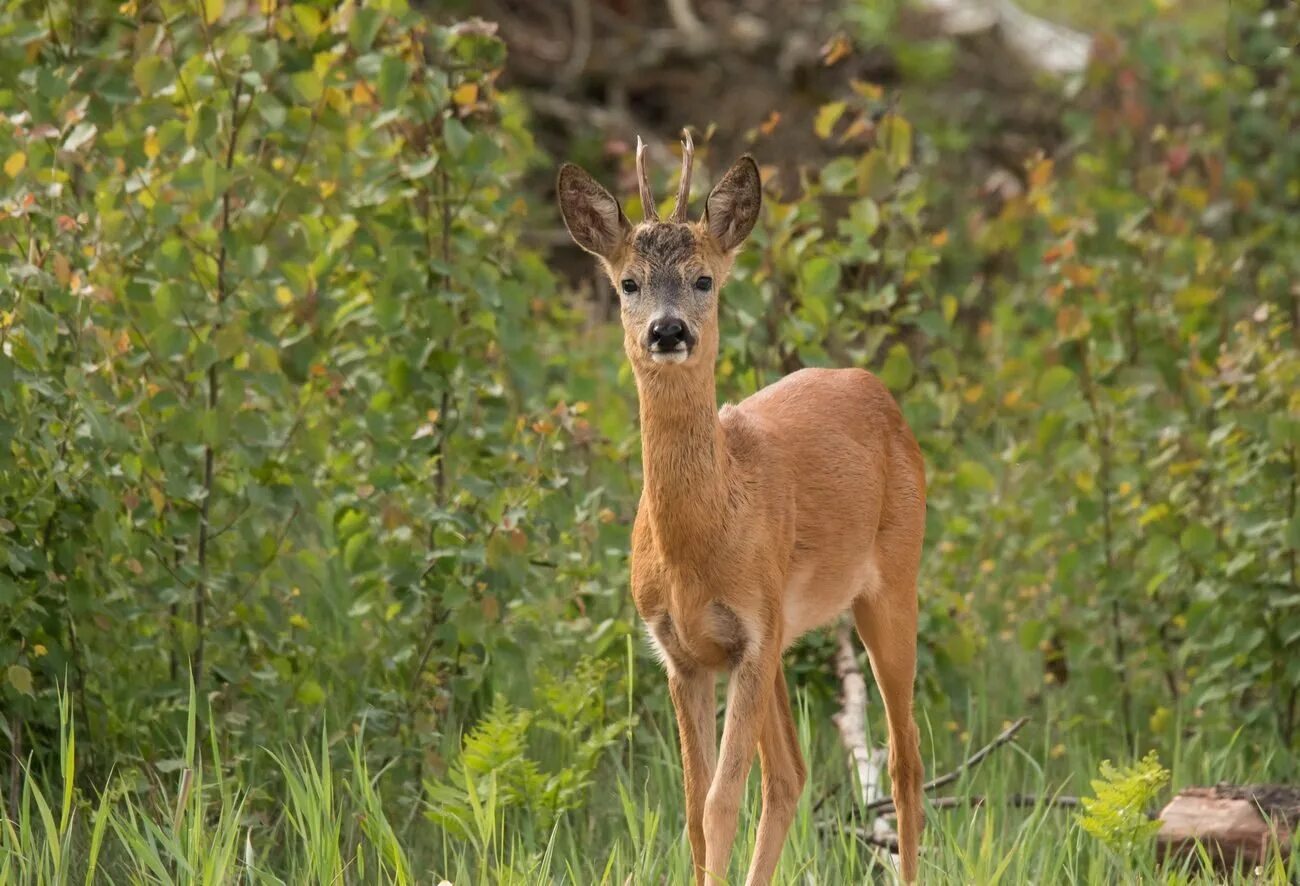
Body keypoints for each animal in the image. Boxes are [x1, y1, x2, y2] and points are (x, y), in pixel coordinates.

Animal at [553, 127, 930, 878]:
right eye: (628, 283)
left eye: (705, 279)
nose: (668, 330)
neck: (699, 544)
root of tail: (881, 395)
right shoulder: (683, 652)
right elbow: (694, 810)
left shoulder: (752, 635)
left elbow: (721, 803)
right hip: (786, 634)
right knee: (791, 774)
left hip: (892, 581)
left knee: (904, 760)